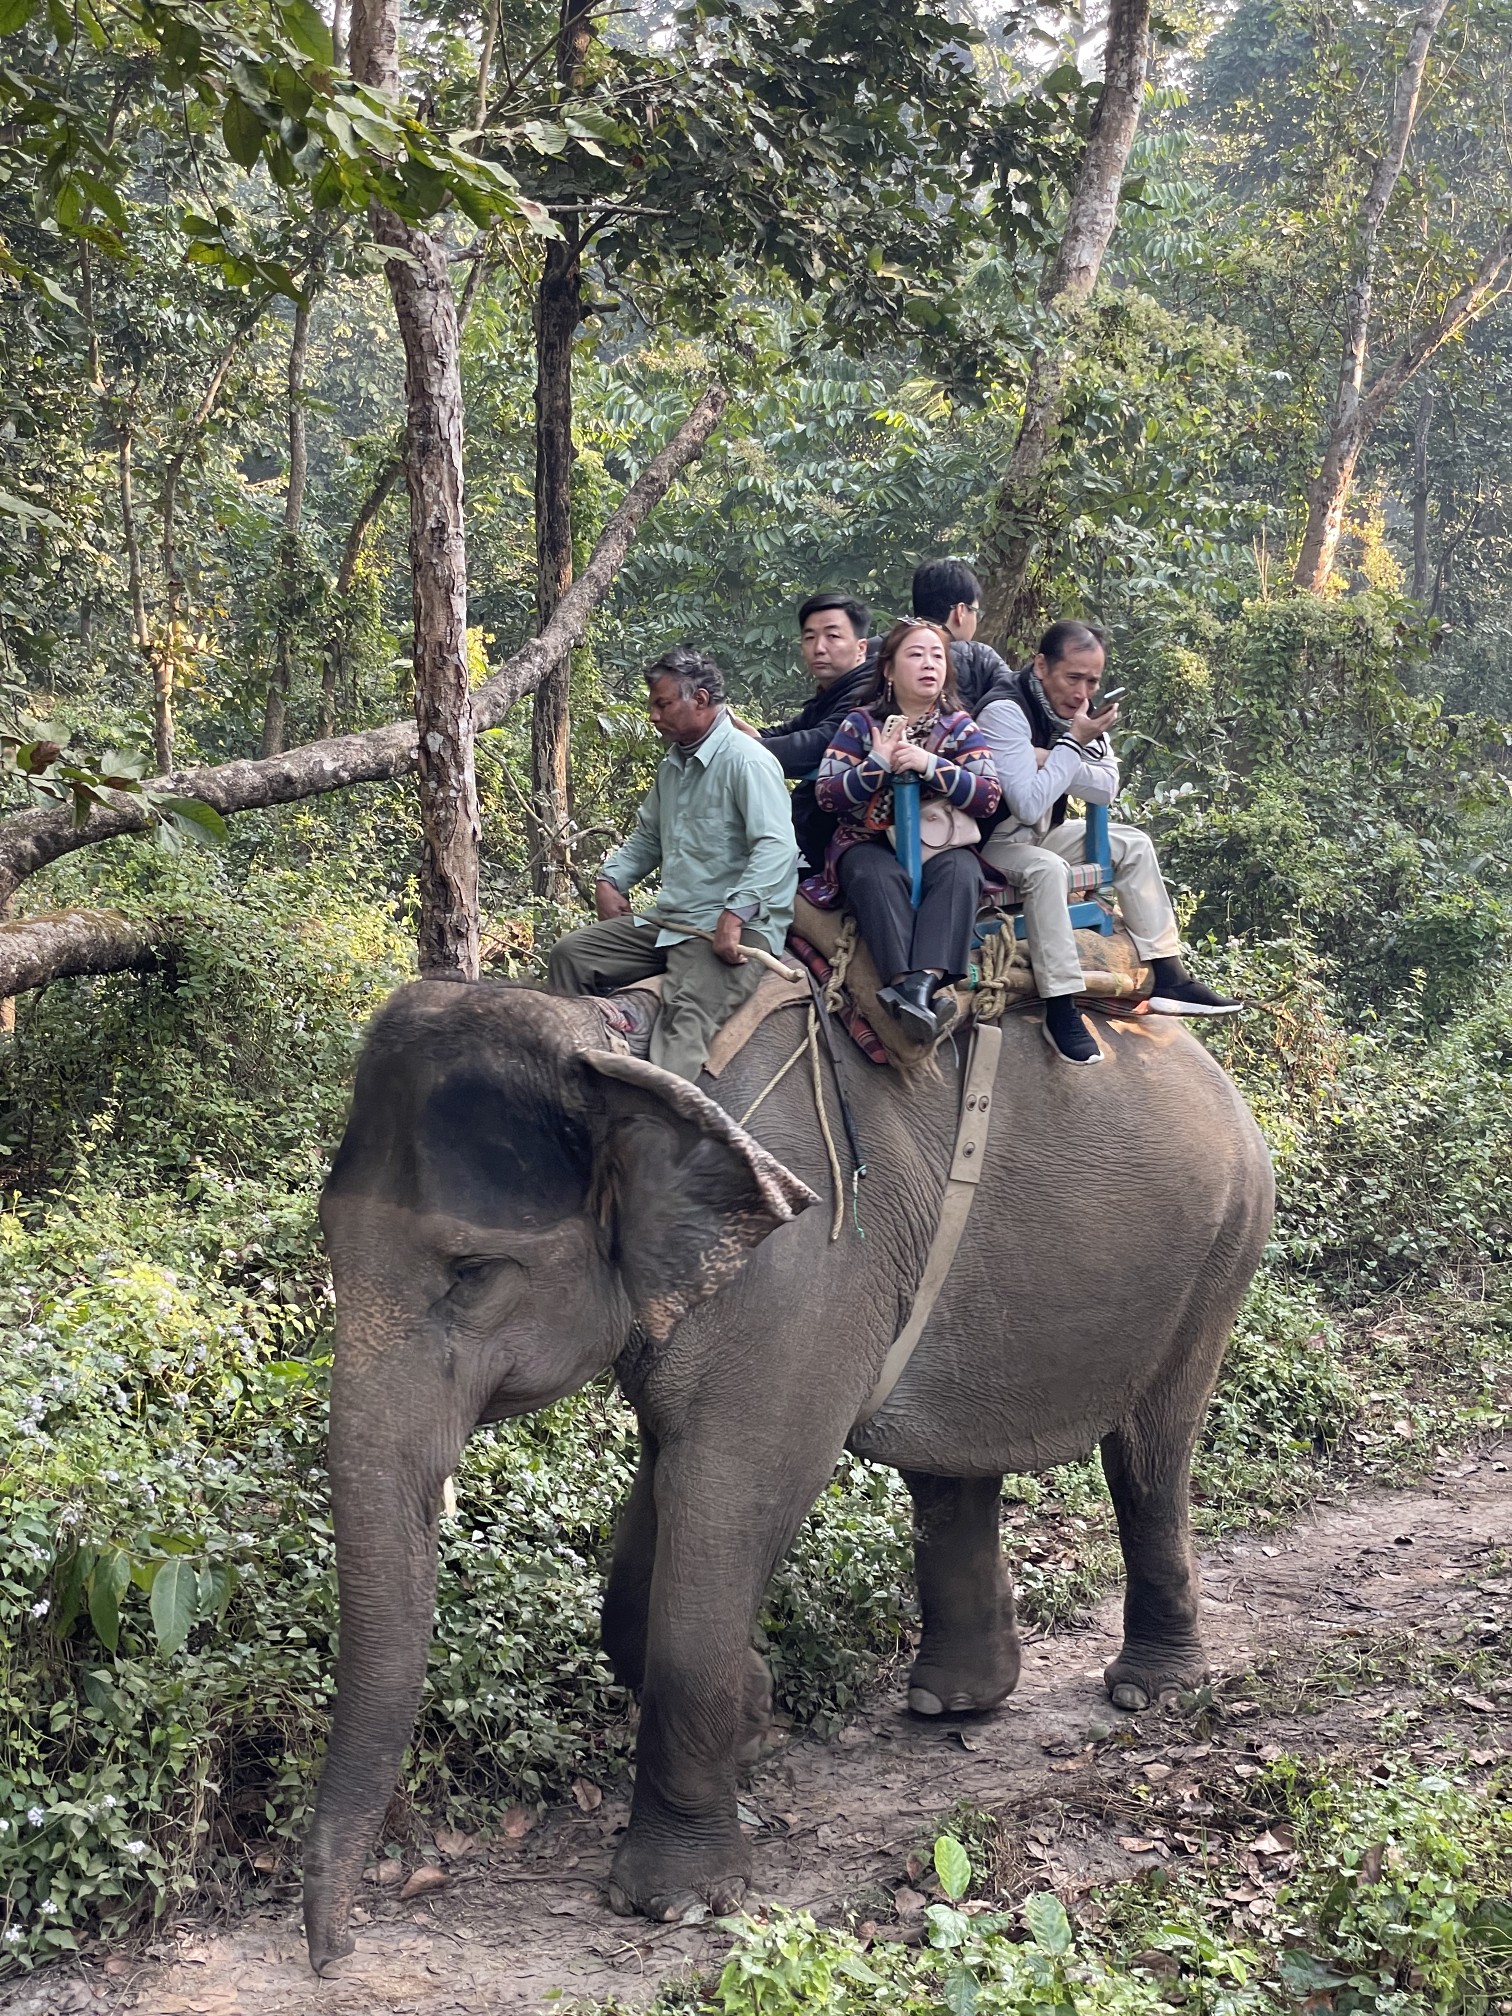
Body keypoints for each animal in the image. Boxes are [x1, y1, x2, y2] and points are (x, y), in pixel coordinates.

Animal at [304, 975, 1282, 1967]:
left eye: (472, 1271)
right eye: (328, 1238)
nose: (333, 1953)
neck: (619, 1044)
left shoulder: (801, 1274)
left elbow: (734, 1486)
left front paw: (674, 1899)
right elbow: (658, 1511)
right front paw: (753, 1719)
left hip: (1223, 1245)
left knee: (1149, 1453)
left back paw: (1144, 1688)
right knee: (951, 1470)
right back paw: (951, 1702)